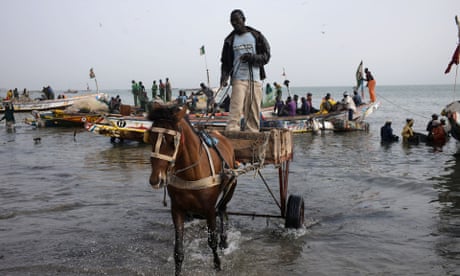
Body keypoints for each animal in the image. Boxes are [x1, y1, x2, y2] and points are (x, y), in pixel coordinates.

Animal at [144, 102, 237, 274]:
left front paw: (217, 264)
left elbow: (212, 240)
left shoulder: (209, 209)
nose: (156, 179)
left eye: (172, 140)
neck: (191, 173)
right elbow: (178, 250)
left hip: (231, 185)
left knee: (223, 210)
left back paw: (224, 240)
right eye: (150, 137)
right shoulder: (177, 209)